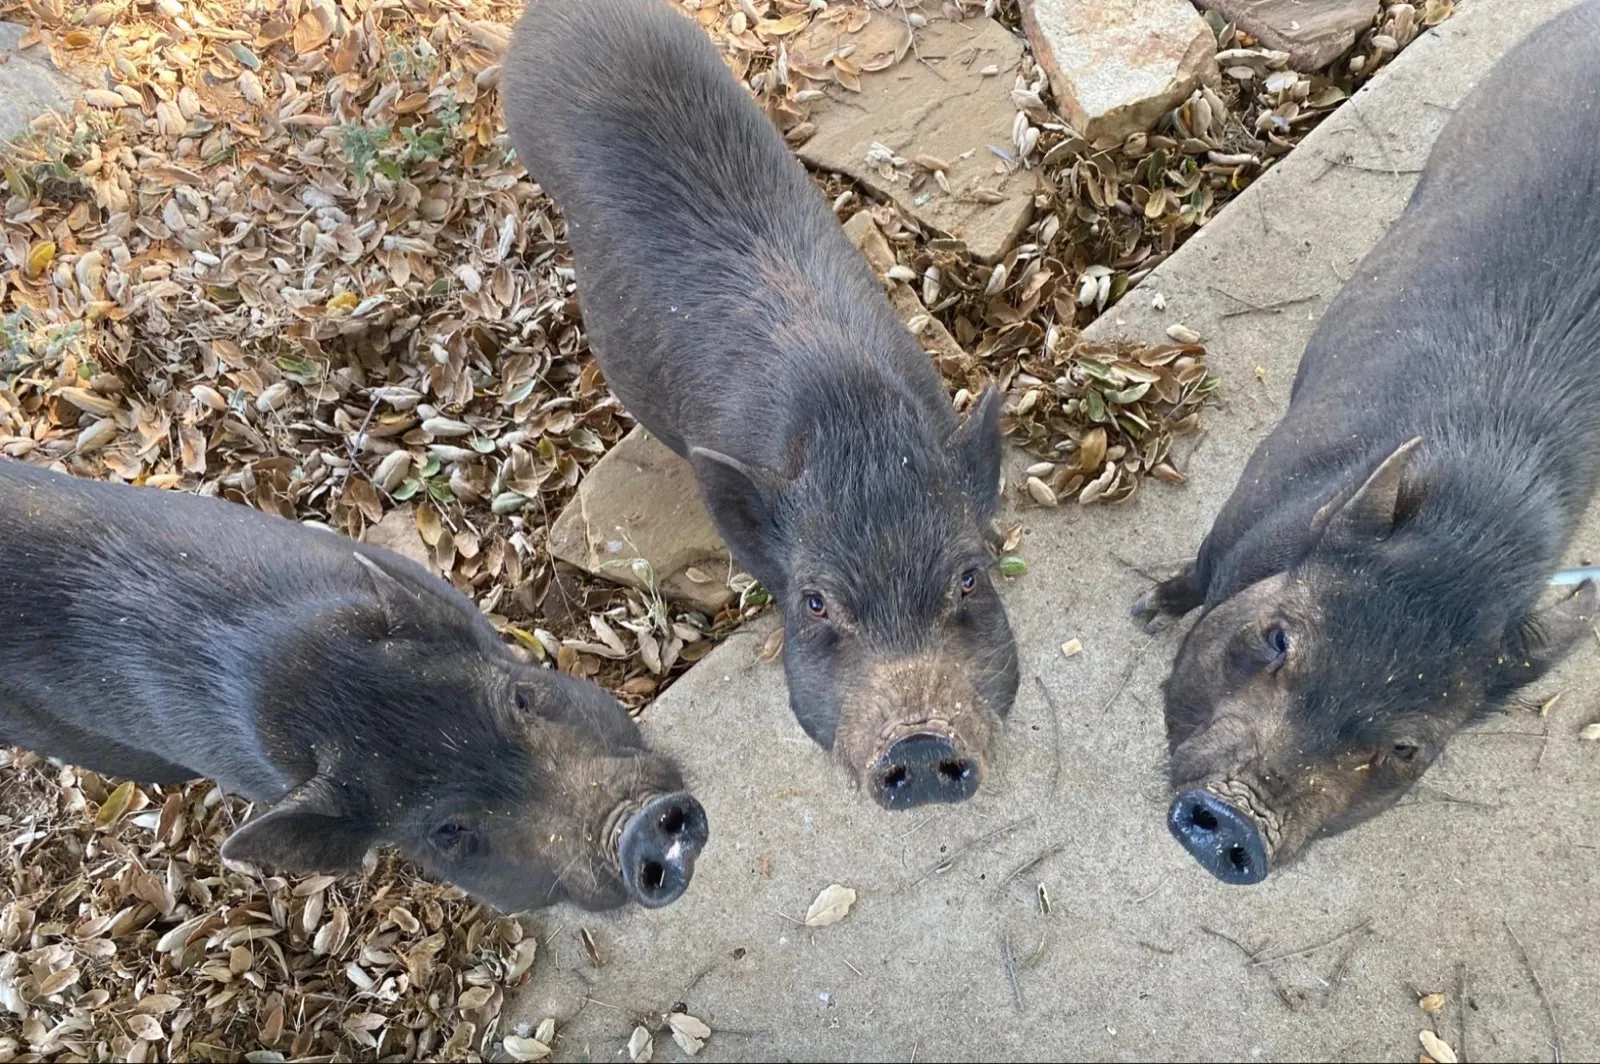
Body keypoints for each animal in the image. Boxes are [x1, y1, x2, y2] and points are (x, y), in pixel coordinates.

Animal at [1132, 0, 1600, 884]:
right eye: (1278, 637)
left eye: (1406, 750)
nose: (1239, 817)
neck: (1475, 531)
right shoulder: (1248, 494)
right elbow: (1200, 568)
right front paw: (1146, 613)